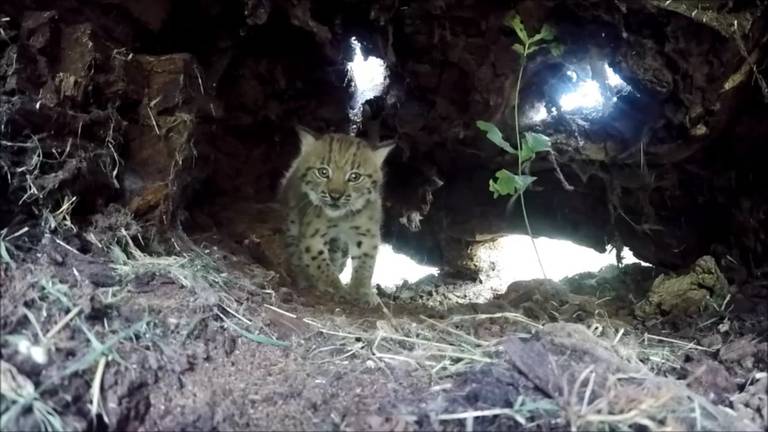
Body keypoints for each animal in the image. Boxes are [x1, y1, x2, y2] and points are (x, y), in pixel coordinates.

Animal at [278, 126, 396, 306]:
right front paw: (335, 287)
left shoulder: (366, 233)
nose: (335, 196)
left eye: (354, 177)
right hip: (291, 220)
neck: (342, 218)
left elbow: (366, 262)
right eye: (323, 172)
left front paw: (362, 290)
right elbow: (320, 262)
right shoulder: (312, 236)